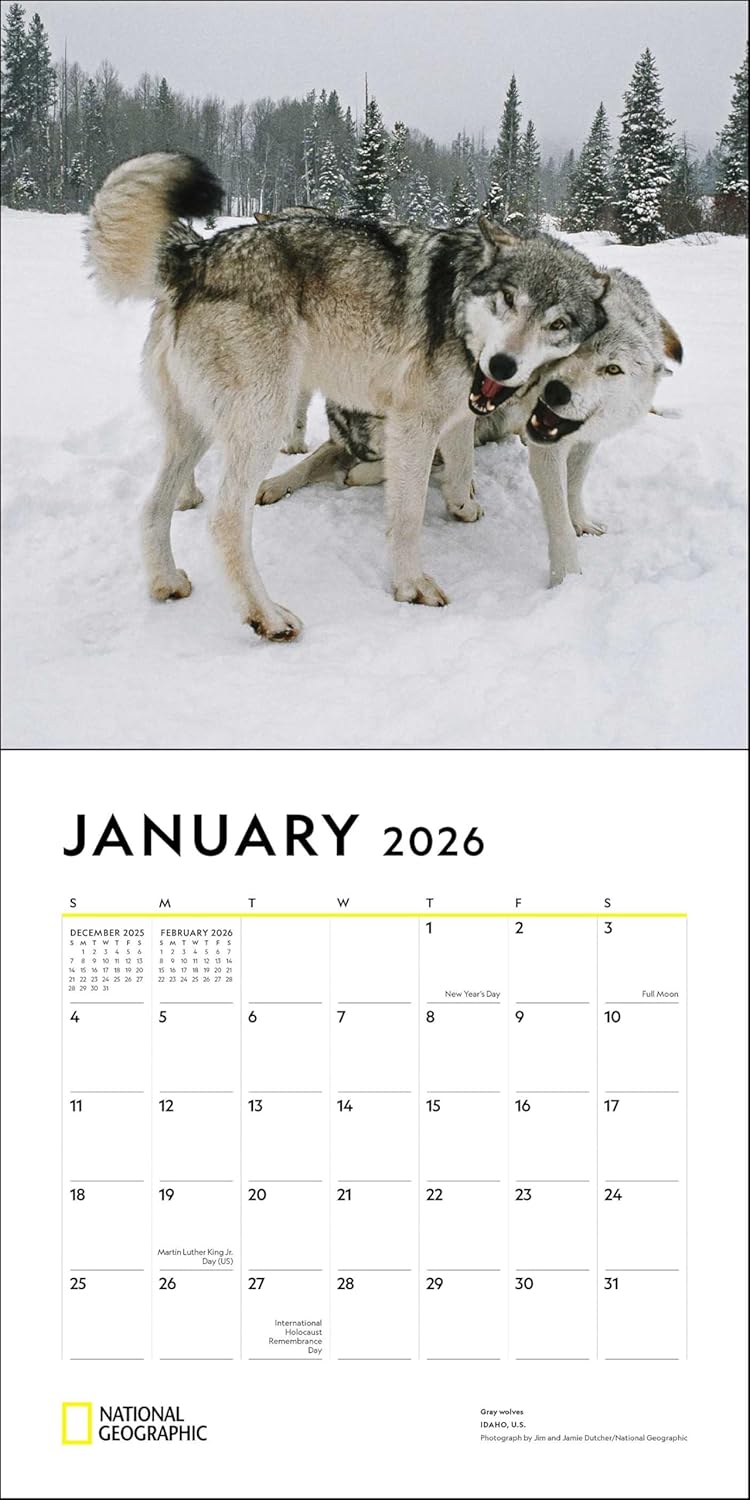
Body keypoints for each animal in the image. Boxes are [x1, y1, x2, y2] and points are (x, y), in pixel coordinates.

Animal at [87, 152, 609, 640]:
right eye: (508, 299)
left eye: (558, 323)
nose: (502, 365)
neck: (459, 304)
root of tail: (193, 254)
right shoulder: (414, 426)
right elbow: (407, 514)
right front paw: (410, 585)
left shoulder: (456, 414)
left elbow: (461, 465)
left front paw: (463, 506)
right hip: (262, 424)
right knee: (224, 521)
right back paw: (267, 616)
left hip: (194, 432)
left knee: (152, 507)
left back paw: (166, 580)